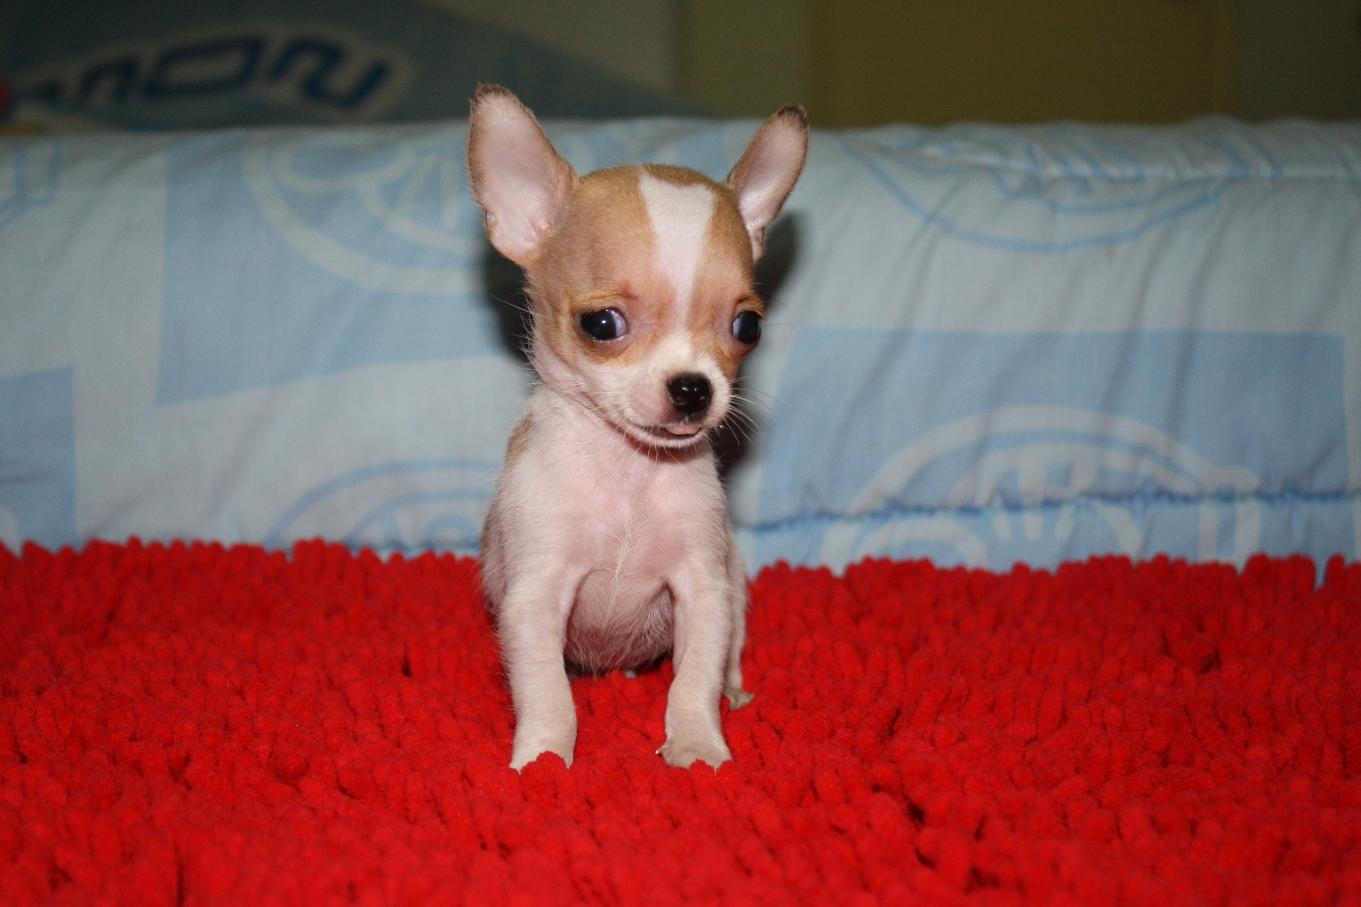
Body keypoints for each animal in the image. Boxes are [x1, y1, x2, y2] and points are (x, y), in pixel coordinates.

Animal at [467, 84, 807, 770]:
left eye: (748, 327)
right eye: (601, 324)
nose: (693, 388)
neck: (629, 473)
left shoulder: (703, 588)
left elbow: (694, 676)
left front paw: (697, 745)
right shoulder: (536, 596)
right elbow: (547, 691)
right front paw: (542, 761)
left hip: (735, 584)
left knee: (727, 656)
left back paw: (734, 692)